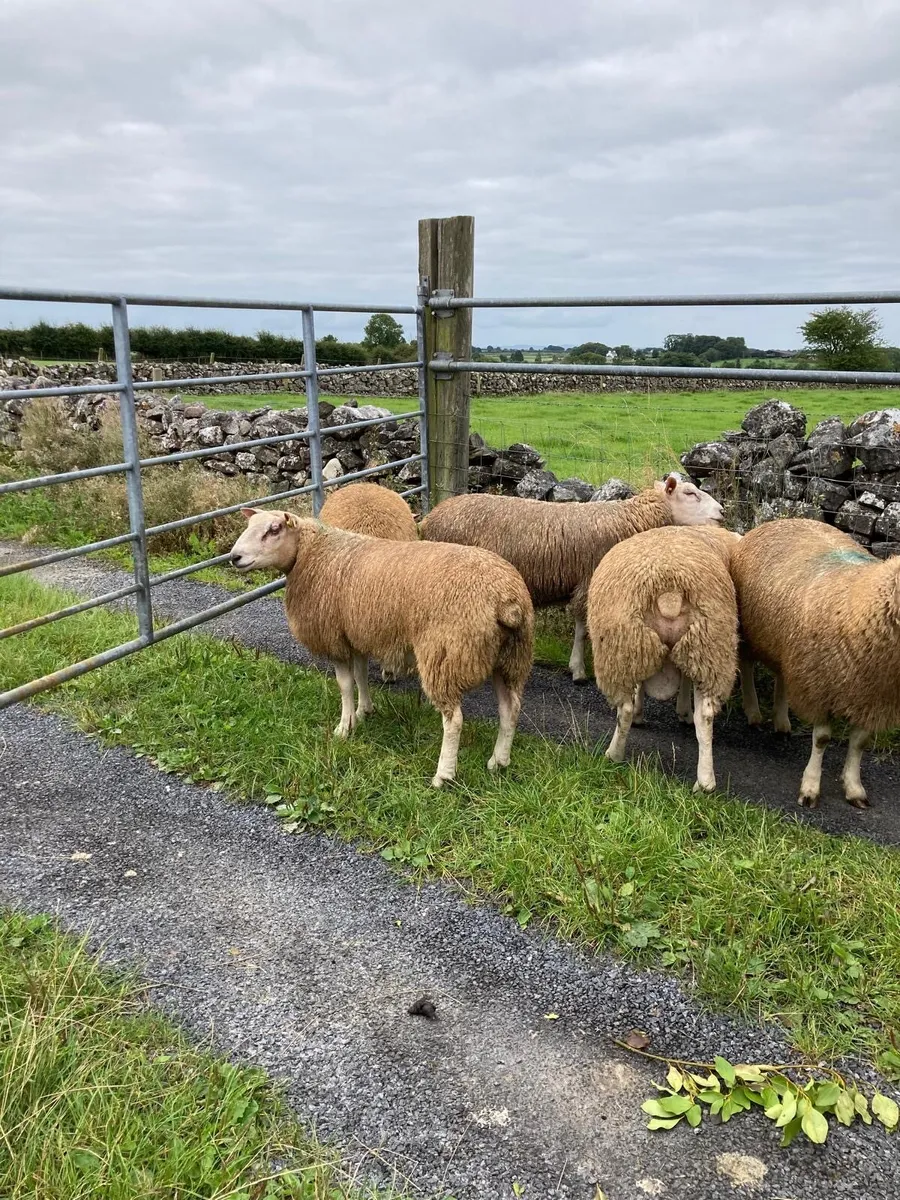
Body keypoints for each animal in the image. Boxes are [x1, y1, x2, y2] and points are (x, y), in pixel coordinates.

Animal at [230, 508, 534, 788]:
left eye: (274, 529)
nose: (234, 557)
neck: (312, 554)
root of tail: (507, 600)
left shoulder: (334, 638)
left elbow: (344, 684)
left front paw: (344, 727)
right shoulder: (356, 634)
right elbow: (361, 676)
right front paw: (363, 712)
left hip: (446, 653)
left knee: (454, 720)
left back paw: (443, 775)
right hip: (510, 658)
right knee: (510, 709)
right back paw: (499, 761)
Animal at [420, 474, 724, 683]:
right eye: (690, 493)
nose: (722, 512)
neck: (629, 520)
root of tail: (430, 516)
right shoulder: (588, 580)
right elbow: (582, 628)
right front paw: (578, 669)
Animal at [587, 526, 741, 792]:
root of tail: (670, 595)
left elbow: (639, 691)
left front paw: (642, 712)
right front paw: (684, 710)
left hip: (624, 648)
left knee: (624, 709)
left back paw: (613, 754)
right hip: (708, 648)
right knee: (706, 716)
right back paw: (705, 783)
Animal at [732, 518, 900, 808]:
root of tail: (783, 519)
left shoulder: (870, 698)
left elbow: (859, 744)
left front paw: (854, 788)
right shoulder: (819, 688)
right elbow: (821, 739)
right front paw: (810, 788)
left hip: (788, 647)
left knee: (782, 676)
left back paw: (781, 721)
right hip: (752, 630)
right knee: (747, 665)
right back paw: (753, 712)